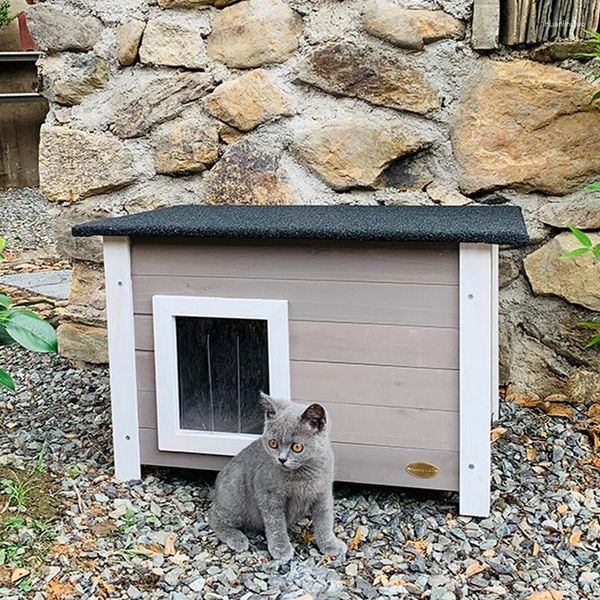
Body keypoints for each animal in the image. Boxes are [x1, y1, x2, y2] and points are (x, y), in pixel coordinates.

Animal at [209, 392, 346, 560]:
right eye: (273, 443)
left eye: (297, 447)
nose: (281, 459)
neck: (303, 475)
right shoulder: (268, 494)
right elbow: (275, 522)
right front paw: (281, 548)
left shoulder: (323, 492)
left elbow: (325, 520)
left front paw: (330, 544)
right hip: (235, 493)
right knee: (214, 516)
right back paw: (237, 538)